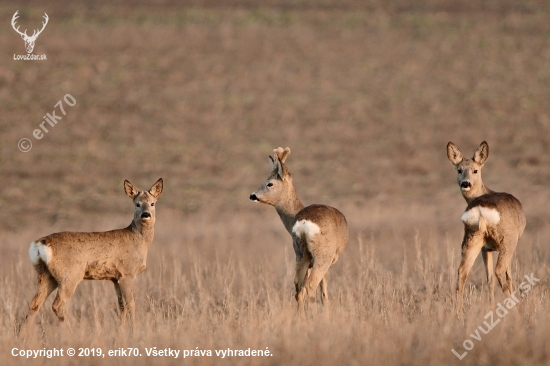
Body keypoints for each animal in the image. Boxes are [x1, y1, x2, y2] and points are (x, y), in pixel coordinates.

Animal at [24, 179, 163, 330]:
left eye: (152, 203)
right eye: (137, 203)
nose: (146, 214)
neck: (139, 240)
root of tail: (40, 243)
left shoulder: (115, 278)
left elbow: (121, 306)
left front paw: (121, 330)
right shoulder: (127, 273)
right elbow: (131, 304)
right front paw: (135, 329)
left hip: (46, 275)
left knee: (34, 304)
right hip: (70, 275)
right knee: (57, 305)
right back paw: (71, 332)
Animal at [251, 147, 350, 314]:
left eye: (269, 183)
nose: (252, 195)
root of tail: (303, 223)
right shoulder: (328, 259)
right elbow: (324, 291)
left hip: (300, 252)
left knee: (298, 288)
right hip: (322, 255)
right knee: (309, 287)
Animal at [448, 141, 528, 314]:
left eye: (475, 170)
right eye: (459, 170)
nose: (465, 183)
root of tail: (480, 209)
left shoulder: (486, 248)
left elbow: (489, 280)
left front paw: (490, 306)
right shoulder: (504, 245)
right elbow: (508, 276)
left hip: (472, 238)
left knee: (462, 271)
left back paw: (458, 313)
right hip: (508, 240)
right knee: (500, 271)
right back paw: (514, 309)